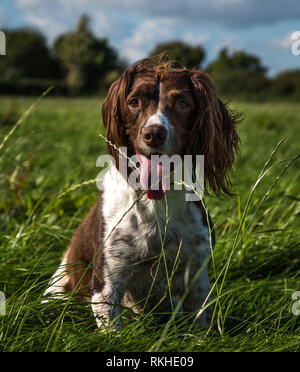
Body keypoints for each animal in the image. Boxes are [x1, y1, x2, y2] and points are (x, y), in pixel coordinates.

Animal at [43, 58, 240, 332]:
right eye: (134, 102)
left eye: (183, 103)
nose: (154, 133)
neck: (156, 202)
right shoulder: (108, 280)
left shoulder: (197, 273)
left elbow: (202, 321)